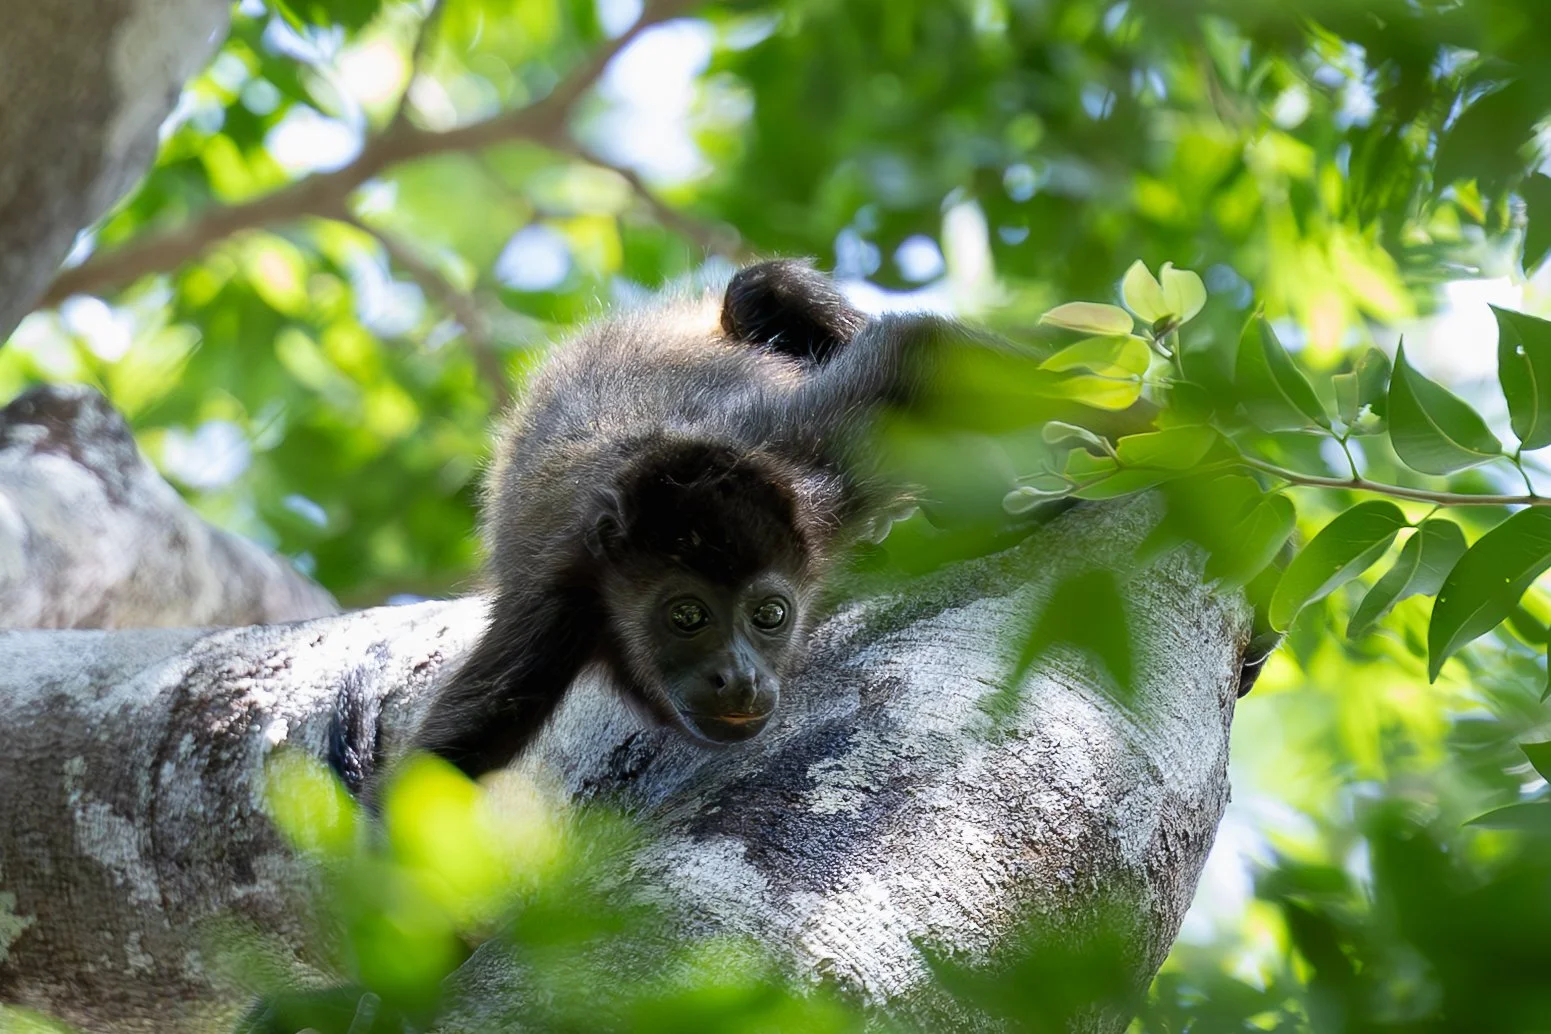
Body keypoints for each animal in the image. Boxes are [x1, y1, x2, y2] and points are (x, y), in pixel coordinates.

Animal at [410, 259, 1022, 781]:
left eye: (771, 614)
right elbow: (436, 768)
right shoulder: (553, 602)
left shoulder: (812, 475)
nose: (740, 677)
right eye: (687, 616)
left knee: (762, 286)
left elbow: (915, 350)